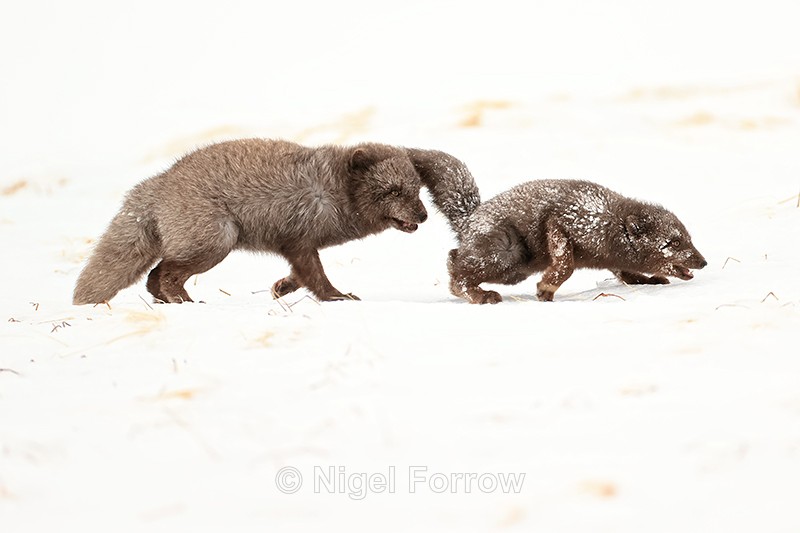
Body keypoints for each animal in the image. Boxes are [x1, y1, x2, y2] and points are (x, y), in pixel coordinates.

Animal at [73, 139, 480, 304]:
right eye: (393, 191)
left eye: (416, 190)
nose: (424, 216)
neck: (333, 190)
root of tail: (156, 185)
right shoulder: (299, 240)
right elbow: (317, 278)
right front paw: (337, 298)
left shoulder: (298, 246)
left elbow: (300, 277)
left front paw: (281, 289)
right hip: (217, 241)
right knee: (163, 274)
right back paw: (182, 301)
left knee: (154, 277)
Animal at [447, 179, 707, 304]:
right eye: (674, 243)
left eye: (688, 238)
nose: (703, 262)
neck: (608, 222)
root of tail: (470, 218)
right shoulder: (560, 222)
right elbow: (565, 265)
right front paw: (546, 289)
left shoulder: (611, 258)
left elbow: (626, 273)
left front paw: (648, 280)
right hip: (508, 259)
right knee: (455, 272)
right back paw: (481, 296)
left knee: (453, 258)